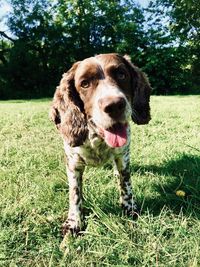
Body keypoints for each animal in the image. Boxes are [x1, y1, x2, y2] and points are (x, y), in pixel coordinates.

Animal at [50, 52, 152, 237]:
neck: (98, 137)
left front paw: (130, 209)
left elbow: (125, 182)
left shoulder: (123, 156)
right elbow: (75, 193)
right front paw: (74, 221)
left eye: (121, 74)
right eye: (84, 84)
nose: (114, 105)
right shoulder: (73, 163)